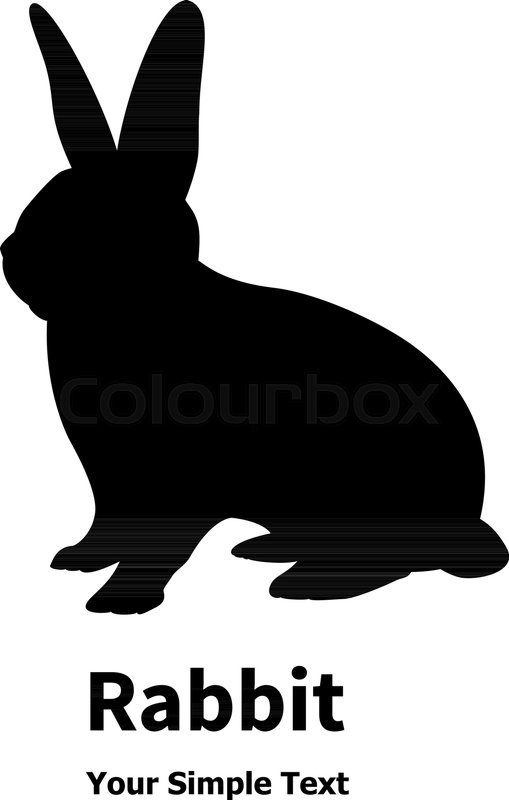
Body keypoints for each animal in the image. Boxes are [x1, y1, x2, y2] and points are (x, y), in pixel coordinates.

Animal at [2, 1, 507, 614]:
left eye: (103, 224)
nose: (10, 257)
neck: (138, 309)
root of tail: (470, 521)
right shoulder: (113, 484)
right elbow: (109, 527)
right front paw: (77, 558)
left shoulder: (175, 484)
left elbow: (161, 544)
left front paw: (120, 601)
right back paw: (264, 550)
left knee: (388, 562)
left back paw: (302, 584)